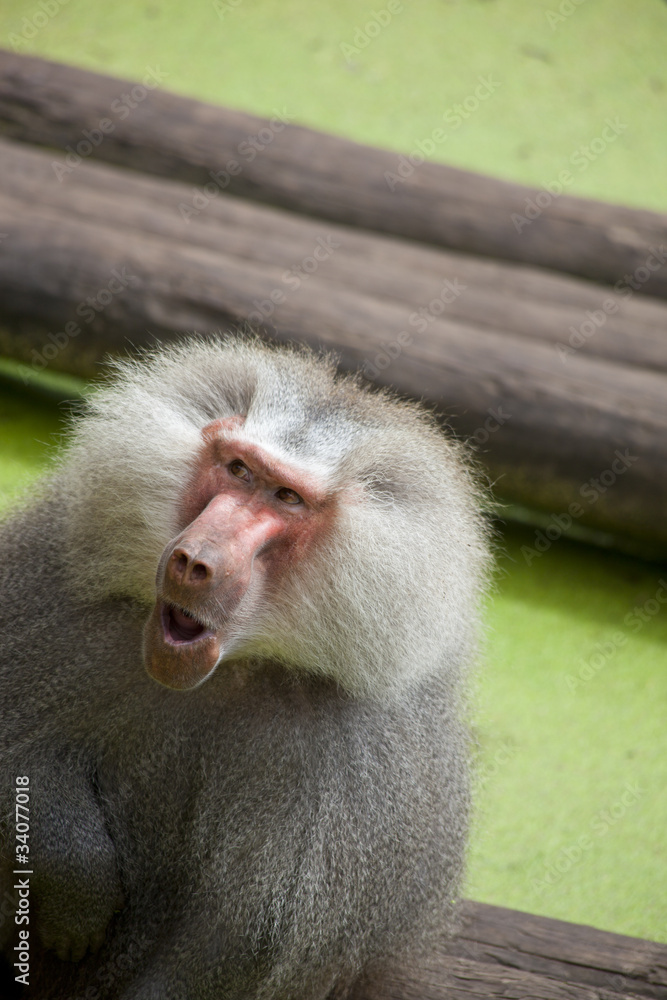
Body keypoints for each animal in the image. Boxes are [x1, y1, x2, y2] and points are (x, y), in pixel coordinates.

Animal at [0, 335, 490, 1000]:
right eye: (238, 470)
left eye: (287, 497)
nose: (193, 561)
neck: (231, 671)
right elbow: (20, 759)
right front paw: (76, 891)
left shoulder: (347, 762)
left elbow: (238, 946)